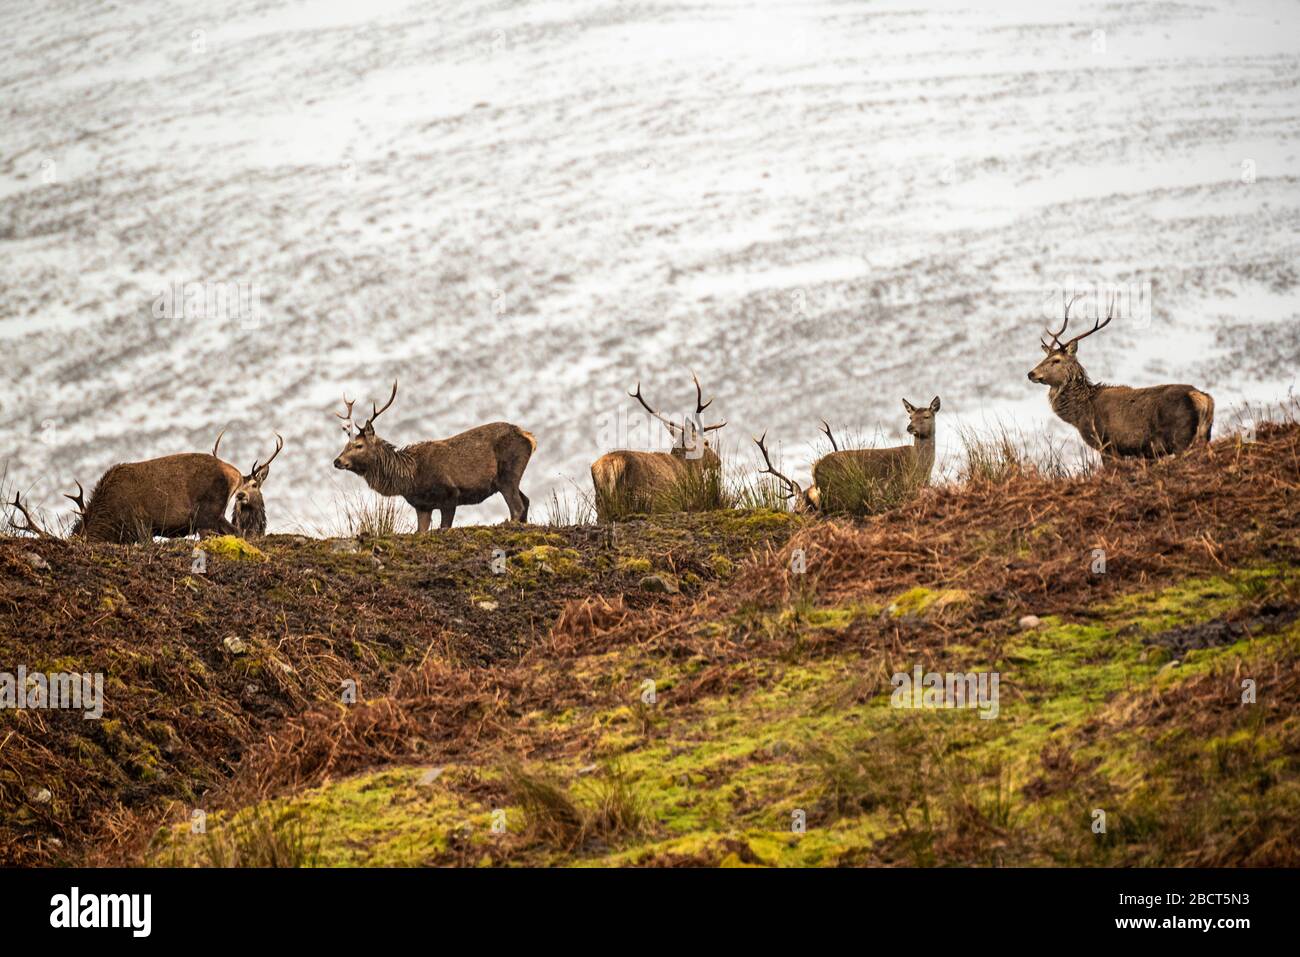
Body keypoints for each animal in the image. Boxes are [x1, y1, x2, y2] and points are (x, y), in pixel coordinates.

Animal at [335, 382, 543, 530]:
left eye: (359, 445)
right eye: (345, 445)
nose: (337, 461)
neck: (410, 478)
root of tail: (529, 438)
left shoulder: (450, 494)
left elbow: (444, 527)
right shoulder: (422, 506)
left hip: (508, 474)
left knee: (517, 507)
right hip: (509, 479)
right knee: (526, 501)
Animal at [592, 374, 728, 522]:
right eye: (706, 443)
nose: (718, 461)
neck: (688, 468)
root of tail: (608, 466)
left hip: (599, 499)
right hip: (640, 495)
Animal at [1024, 295, 1216, 460]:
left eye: (1056, 360)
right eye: (1045, 357)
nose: (1031, 373)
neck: (1081, 413)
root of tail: (1202, 399)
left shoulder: (1107, 444)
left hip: (1182, 438)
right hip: (1203, 436)